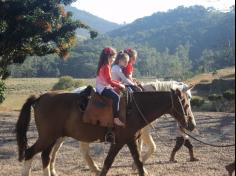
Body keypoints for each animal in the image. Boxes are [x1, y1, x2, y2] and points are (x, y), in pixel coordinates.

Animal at [16, 86, 195, 175]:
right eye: (185, 104)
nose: (191, 125)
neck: (133, 109)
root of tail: (41, 97)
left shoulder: (130, 140)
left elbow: (137, 162)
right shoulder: (121, 141)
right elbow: (109, 162)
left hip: (52, 138)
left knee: (45, 157)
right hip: (48, 137)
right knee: (30, 152)